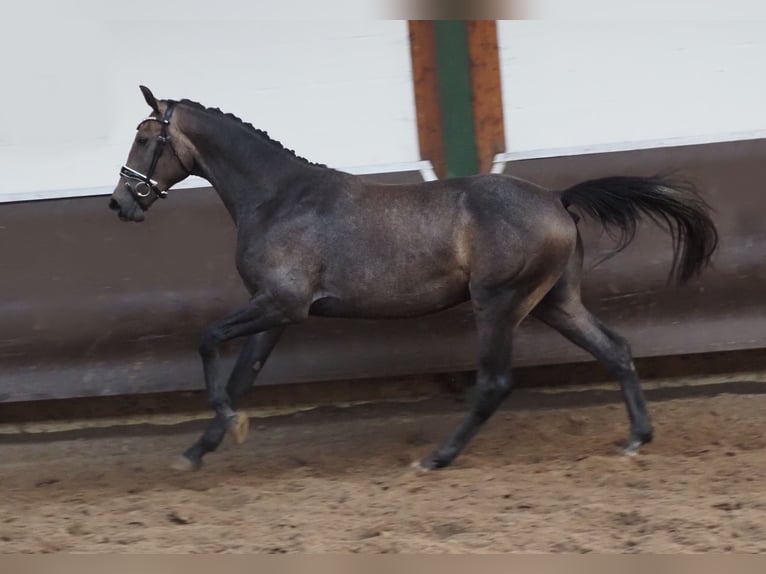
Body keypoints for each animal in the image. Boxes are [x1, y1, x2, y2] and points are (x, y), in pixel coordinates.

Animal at [108, 85, 720, 472]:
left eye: (144, 137)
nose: (120, 203)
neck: (278, 198)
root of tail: (556, 198)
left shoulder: (281, 303)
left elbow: (208, 339)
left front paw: (227, 427)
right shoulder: (274, 311)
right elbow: (240, 377)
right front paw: (199, 449)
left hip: (498, 303)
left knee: (494, 383)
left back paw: (435, 458)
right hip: (555, 302)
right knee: (615, 349)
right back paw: (636, 439)